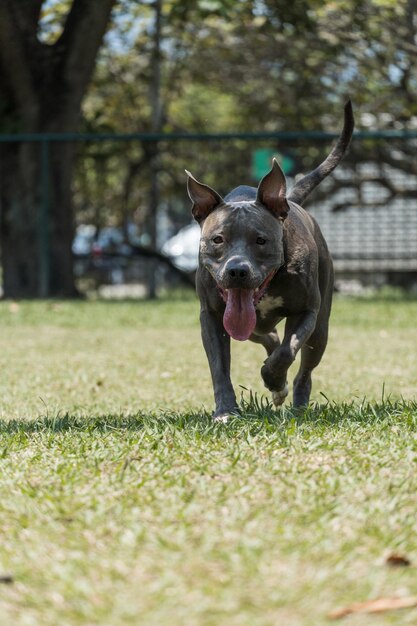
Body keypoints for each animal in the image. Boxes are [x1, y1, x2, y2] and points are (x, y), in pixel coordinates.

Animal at [187, 100, 352, 420]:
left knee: (303, 367)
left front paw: (273, 379)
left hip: (321, 328)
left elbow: (288, 351)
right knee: (269, 336)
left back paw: (296, 400)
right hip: (250, 325)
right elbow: (219, 368)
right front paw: (226, 411)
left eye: (261, 240)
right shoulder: (212, 316)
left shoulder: (306, 311)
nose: (237, 271)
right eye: (218, 239)